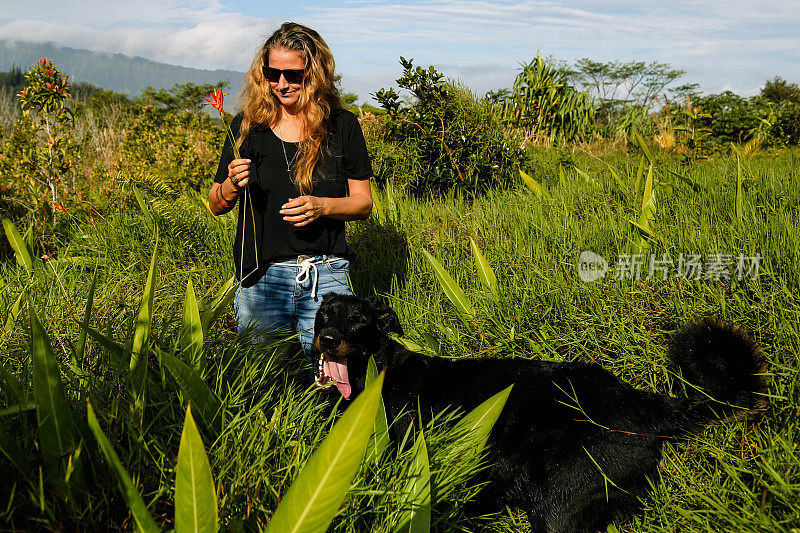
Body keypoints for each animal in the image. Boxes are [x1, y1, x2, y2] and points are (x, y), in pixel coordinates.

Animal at [310, 294, 764, 528]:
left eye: (360, 320)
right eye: (323, 314)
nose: (327, 338)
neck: (376, 376)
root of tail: (639, 401)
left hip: (559, 503)